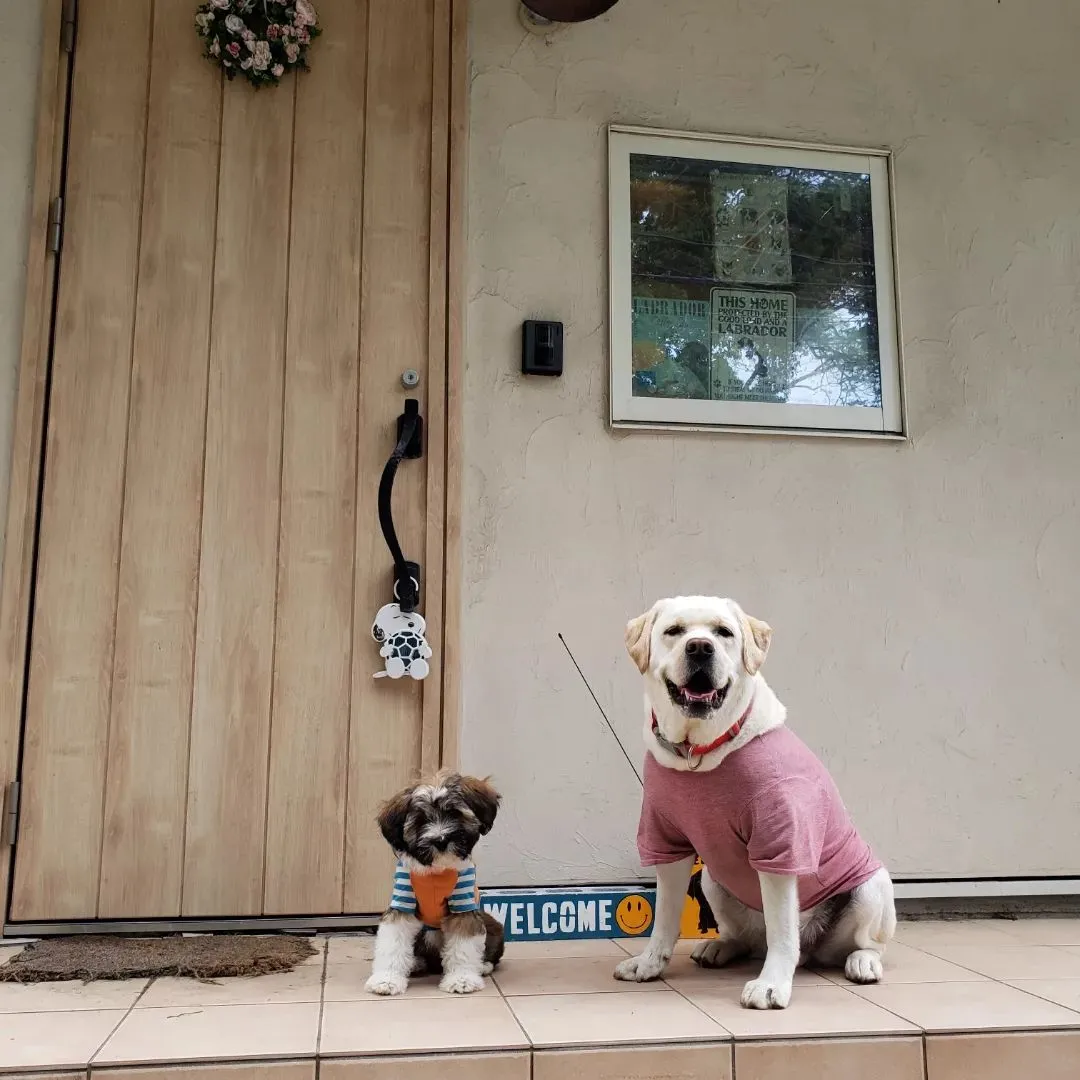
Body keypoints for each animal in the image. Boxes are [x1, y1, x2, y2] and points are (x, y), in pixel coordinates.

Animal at [365, 768, 503, 993]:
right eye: (421, 821)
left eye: (454, 813)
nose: (440, 840)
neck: (436, 873)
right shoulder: (402, 904)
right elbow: (393, 943)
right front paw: (386, 980)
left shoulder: (463, 906)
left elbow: (463, 945)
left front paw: (462, 979)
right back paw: (416, 963)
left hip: (494, 925)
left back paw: (483, 966)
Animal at [617, 596, 894, 1006]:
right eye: (674, 631)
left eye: (723, 633)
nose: (700, 647)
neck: (698, 751)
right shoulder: (665, 838)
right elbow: (665, 915)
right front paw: (650, 963)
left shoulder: (778, 840)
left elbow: (783, 932)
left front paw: (771, 985)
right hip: (713, 880)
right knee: (748, 940)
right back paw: (719, 947)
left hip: (872, 885)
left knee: (862, 943)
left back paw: (862, 962)